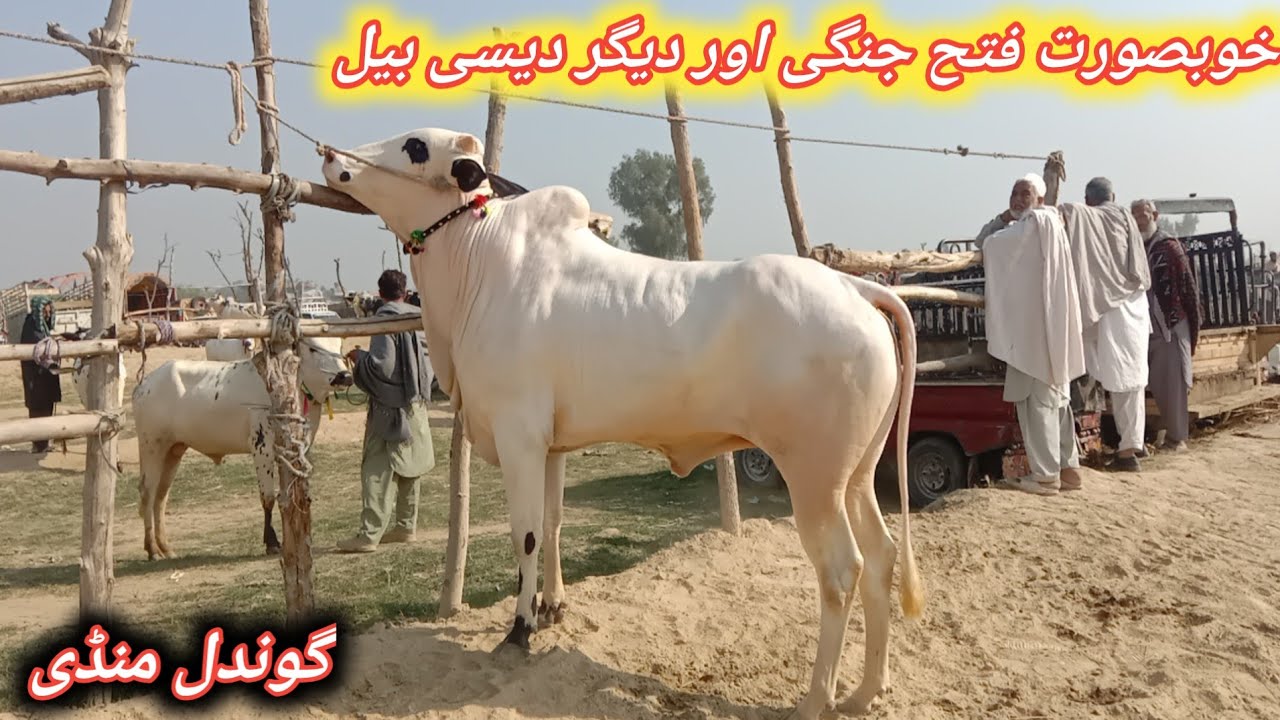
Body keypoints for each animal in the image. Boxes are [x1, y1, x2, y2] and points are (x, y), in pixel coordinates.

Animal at [130, 338, 353, 560]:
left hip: (173, 451)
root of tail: (144, 385)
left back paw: (165, 547)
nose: (345, 376)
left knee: (161, 497)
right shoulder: (262, 448)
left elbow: (289, 495)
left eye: (339, 346)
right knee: (148, 493)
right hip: (152, 447)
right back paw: (153, 549)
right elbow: (268, 498)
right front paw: (271, 541)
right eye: (313, 348)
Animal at [320, 127, 924, 719]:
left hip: (815, 479)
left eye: (415, 145)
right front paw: (552, 606)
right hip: (856, 476)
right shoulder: (552, 446)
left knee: (841, 572)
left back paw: (817, 699)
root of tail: (856, 287)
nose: (329, 155)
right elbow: (554, 523)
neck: (479, 262)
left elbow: (527, 533)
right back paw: (866, 690)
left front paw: (519, 630)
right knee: (882, 556)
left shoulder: (519, 436)